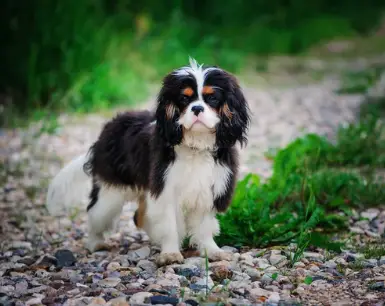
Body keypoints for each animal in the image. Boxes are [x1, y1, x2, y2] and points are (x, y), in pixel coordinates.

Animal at [45, 57, 249, 266]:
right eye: (184, 99)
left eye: (212, 98)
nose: (197, 108)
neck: (196, 145)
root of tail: (106, 131)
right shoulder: (165, 190)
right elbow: (169, 225)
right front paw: (170, 253)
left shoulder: (208, 190)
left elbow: (204, 226)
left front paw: (211, 251)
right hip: (110, 194)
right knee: (95, 212)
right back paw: (95, 243)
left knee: (140, 216)